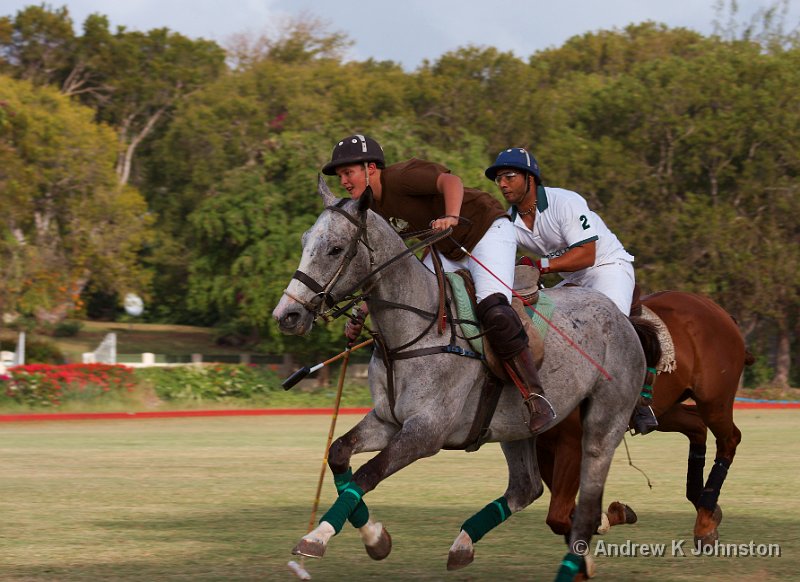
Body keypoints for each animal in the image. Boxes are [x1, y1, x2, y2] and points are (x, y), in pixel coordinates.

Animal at [272, 179, 648, 582]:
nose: (287, 315)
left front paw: (318, 537)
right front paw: (374, 538)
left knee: (587, 501)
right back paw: (464, 544)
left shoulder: (426, 431)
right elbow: (340, 452)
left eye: (336, 248)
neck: (411, 333)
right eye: (305, 240)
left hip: (603, 422)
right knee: (525, 488)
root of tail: (620, 315)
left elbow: (367, 475)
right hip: (516, 426)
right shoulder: (389, 420)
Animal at [536, 292, 752, 552]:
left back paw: (705, 522)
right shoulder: (543, 445)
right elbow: (563, 512)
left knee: (729, 439)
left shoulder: (573, 440)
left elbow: (558, 516)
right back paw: (703, 504)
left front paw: (605, 519)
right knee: (697, 426)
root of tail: (719, 310)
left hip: (714, 401)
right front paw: (613, 515)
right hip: (664, 409)